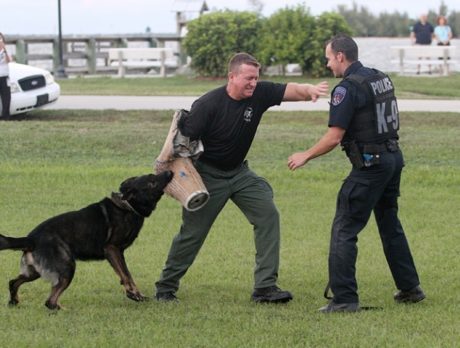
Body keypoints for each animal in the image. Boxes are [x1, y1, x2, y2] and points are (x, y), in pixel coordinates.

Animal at [0, 172, 172, 310]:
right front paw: (135, 295)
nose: (169, 172)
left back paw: (14, 302)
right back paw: (64, 310)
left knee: (13, 282)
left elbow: (125, 275)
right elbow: (126, 274)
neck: (128, 206)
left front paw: (134, 295)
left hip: (34, 272)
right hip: (67, 268)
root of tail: (31, 239)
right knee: (50, 301)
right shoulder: (113, 249)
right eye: (152, 181)